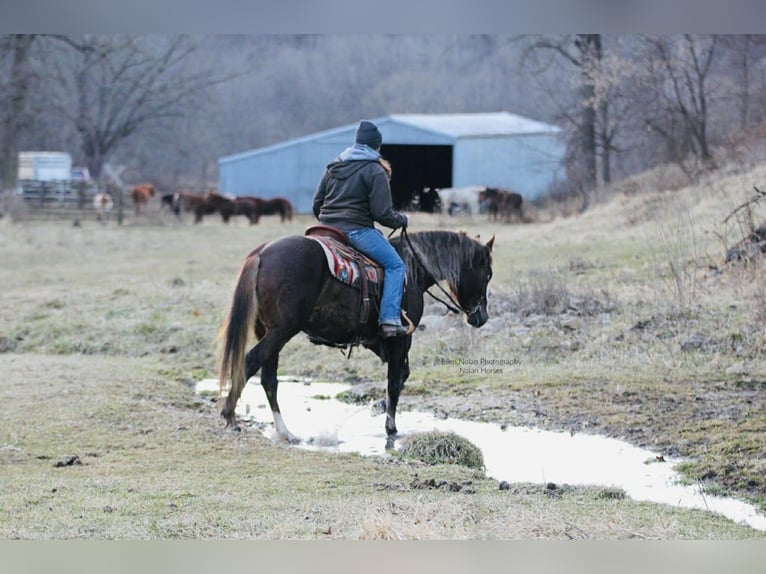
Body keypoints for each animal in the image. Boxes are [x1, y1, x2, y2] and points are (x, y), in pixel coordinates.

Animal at [217, 228, 495, 442]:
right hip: (280, 332)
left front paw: (378, 408)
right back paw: (230, 416)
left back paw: (285, 431)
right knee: (250, 362)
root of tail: (262, 253)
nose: (481, 317)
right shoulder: (400, 339)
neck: (412, 268)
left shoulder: (379, 342)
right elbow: (394, 381)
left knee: (269, 379)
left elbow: (401, 375)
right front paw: (390, 427)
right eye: (488, 274)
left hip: (270, 333)